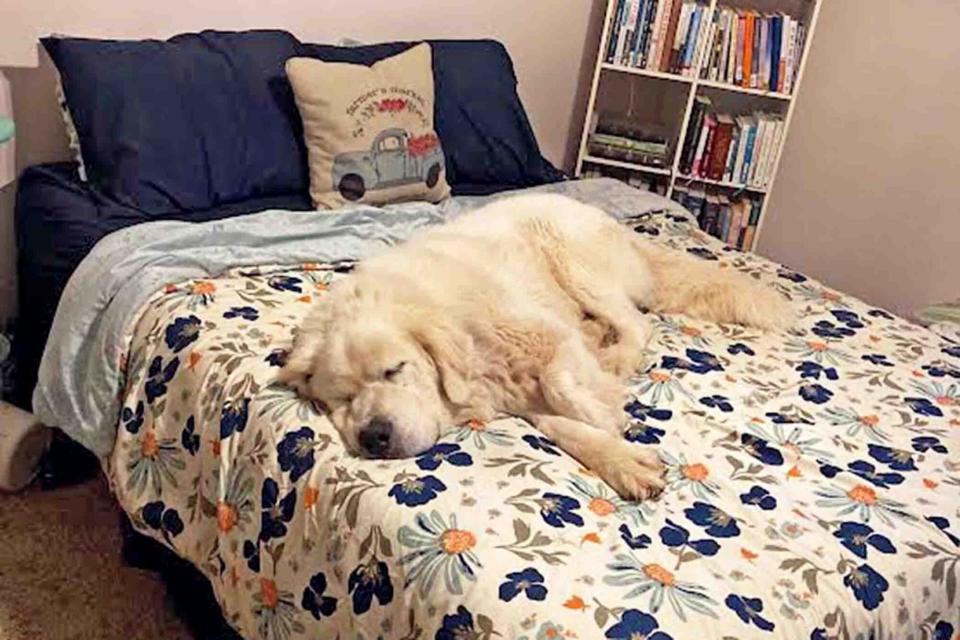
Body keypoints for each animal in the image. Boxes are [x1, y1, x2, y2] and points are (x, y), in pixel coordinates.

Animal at [278, 194, 788, 500]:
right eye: (341, 400)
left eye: (395, 370)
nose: (374, 436)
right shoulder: (509, 389)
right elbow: (558, 424)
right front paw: (620, 459)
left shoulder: (539, 333)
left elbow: (564, 385)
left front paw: (604, 409)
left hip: (572, 261)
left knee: (637, 324)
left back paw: (614, 355)